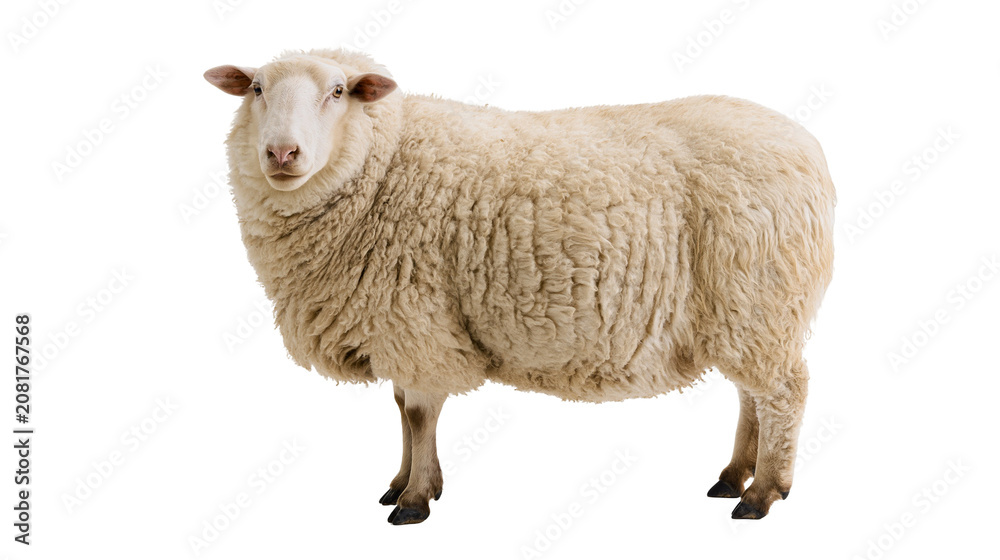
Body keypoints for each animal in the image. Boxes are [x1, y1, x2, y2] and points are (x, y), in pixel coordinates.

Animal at [204, 48, 835, 526]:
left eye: (338, 91)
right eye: (256, 88)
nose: (282, 153)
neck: (381, 166)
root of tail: (807, 147)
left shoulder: (416, 317)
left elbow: (419, 414)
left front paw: (414, 501)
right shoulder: (402, 324)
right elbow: (403, 407)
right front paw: (404, 482)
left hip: (760, 295)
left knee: (783, 393)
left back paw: (763, 492)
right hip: (746, 310)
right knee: (752, 393)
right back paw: (734, 476)